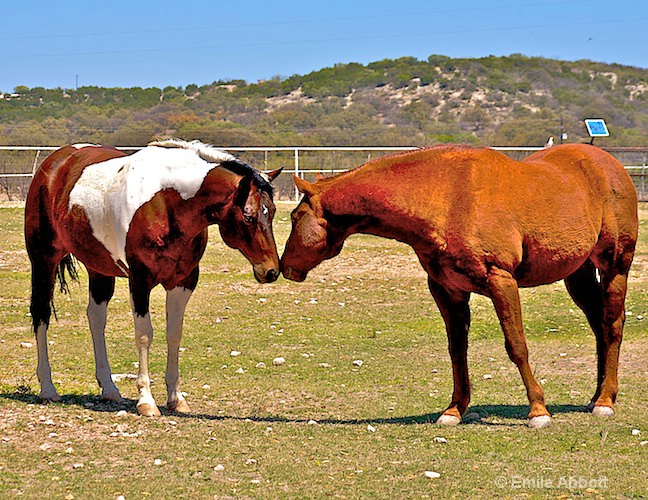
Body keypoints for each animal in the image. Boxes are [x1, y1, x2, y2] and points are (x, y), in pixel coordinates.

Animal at [24, 139, 282, 416]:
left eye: (272, 212)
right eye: (248, 216)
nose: (271, 270)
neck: (168, 202)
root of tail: (55, 164)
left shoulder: (183, 283)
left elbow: (174, 334)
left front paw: (176, 398)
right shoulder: (140, 281)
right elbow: (144, 335)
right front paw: (146, 400)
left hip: (99, 269)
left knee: (96, 319)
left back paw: (109, 389)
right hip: (44, 261)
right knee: (41, 315)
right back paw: (48, 388)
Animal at [284, 143, 636, 428]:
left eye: (293, 217)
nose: (285, 267)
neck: (448, 196)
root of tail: (611, 165)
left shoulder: (501, 282)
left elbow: (516, 346)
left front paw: (538, 410)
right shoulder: (447, 290)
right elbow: (457, 350)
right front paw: (454, 410)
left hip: (615, 266)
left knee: (612, 325)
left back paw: (605, 401)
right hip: (577, 273)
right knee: (598, 326)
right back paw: (596, 396)